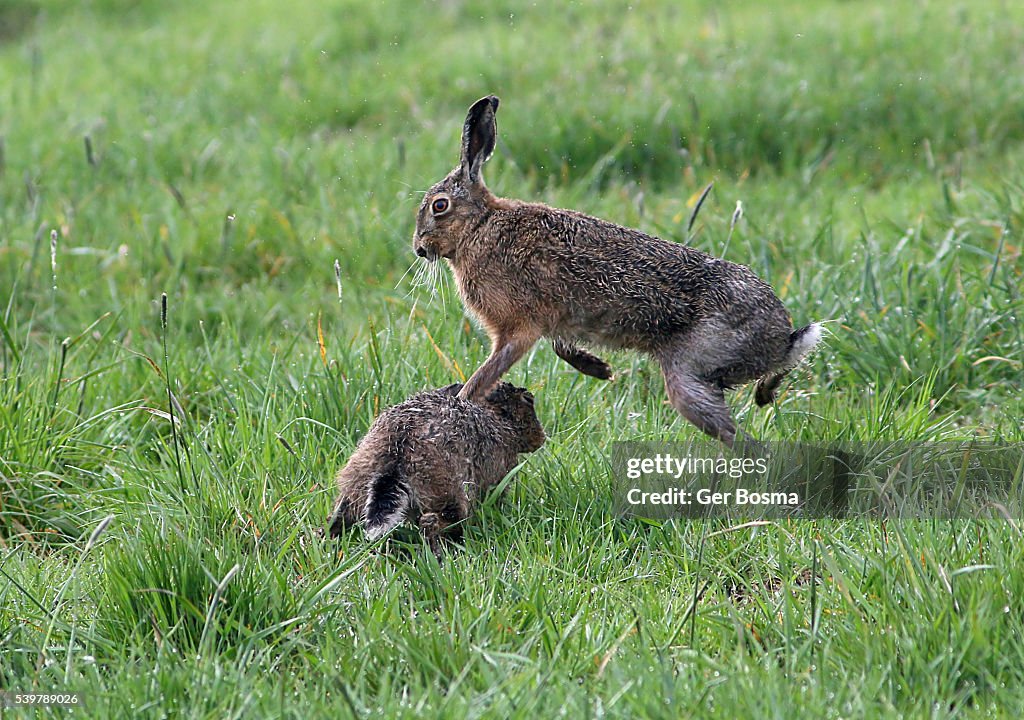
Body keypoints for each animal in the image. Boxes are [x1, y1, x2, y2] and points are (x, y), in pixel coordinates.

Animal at [327, 382, 545, 557]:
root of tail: (396, 454)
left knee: (338, 516)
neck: (497, 420)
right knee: (435, 521)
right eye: (527, 400)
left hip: (358, 481)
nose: (541, 439)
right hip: (446, 492)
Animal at [412, 95, 822, 447]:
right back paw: (768, 392)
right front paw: (599, 368)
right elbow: (560, 344)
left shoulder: (518, 327)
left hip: (690, 372)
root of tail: (780, 334)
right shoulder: (551, 320)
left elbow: (488, 371)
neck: (479, 226)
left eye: (439, 206)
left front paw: (459, 403)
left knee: (739, 435)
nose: (418, 248)